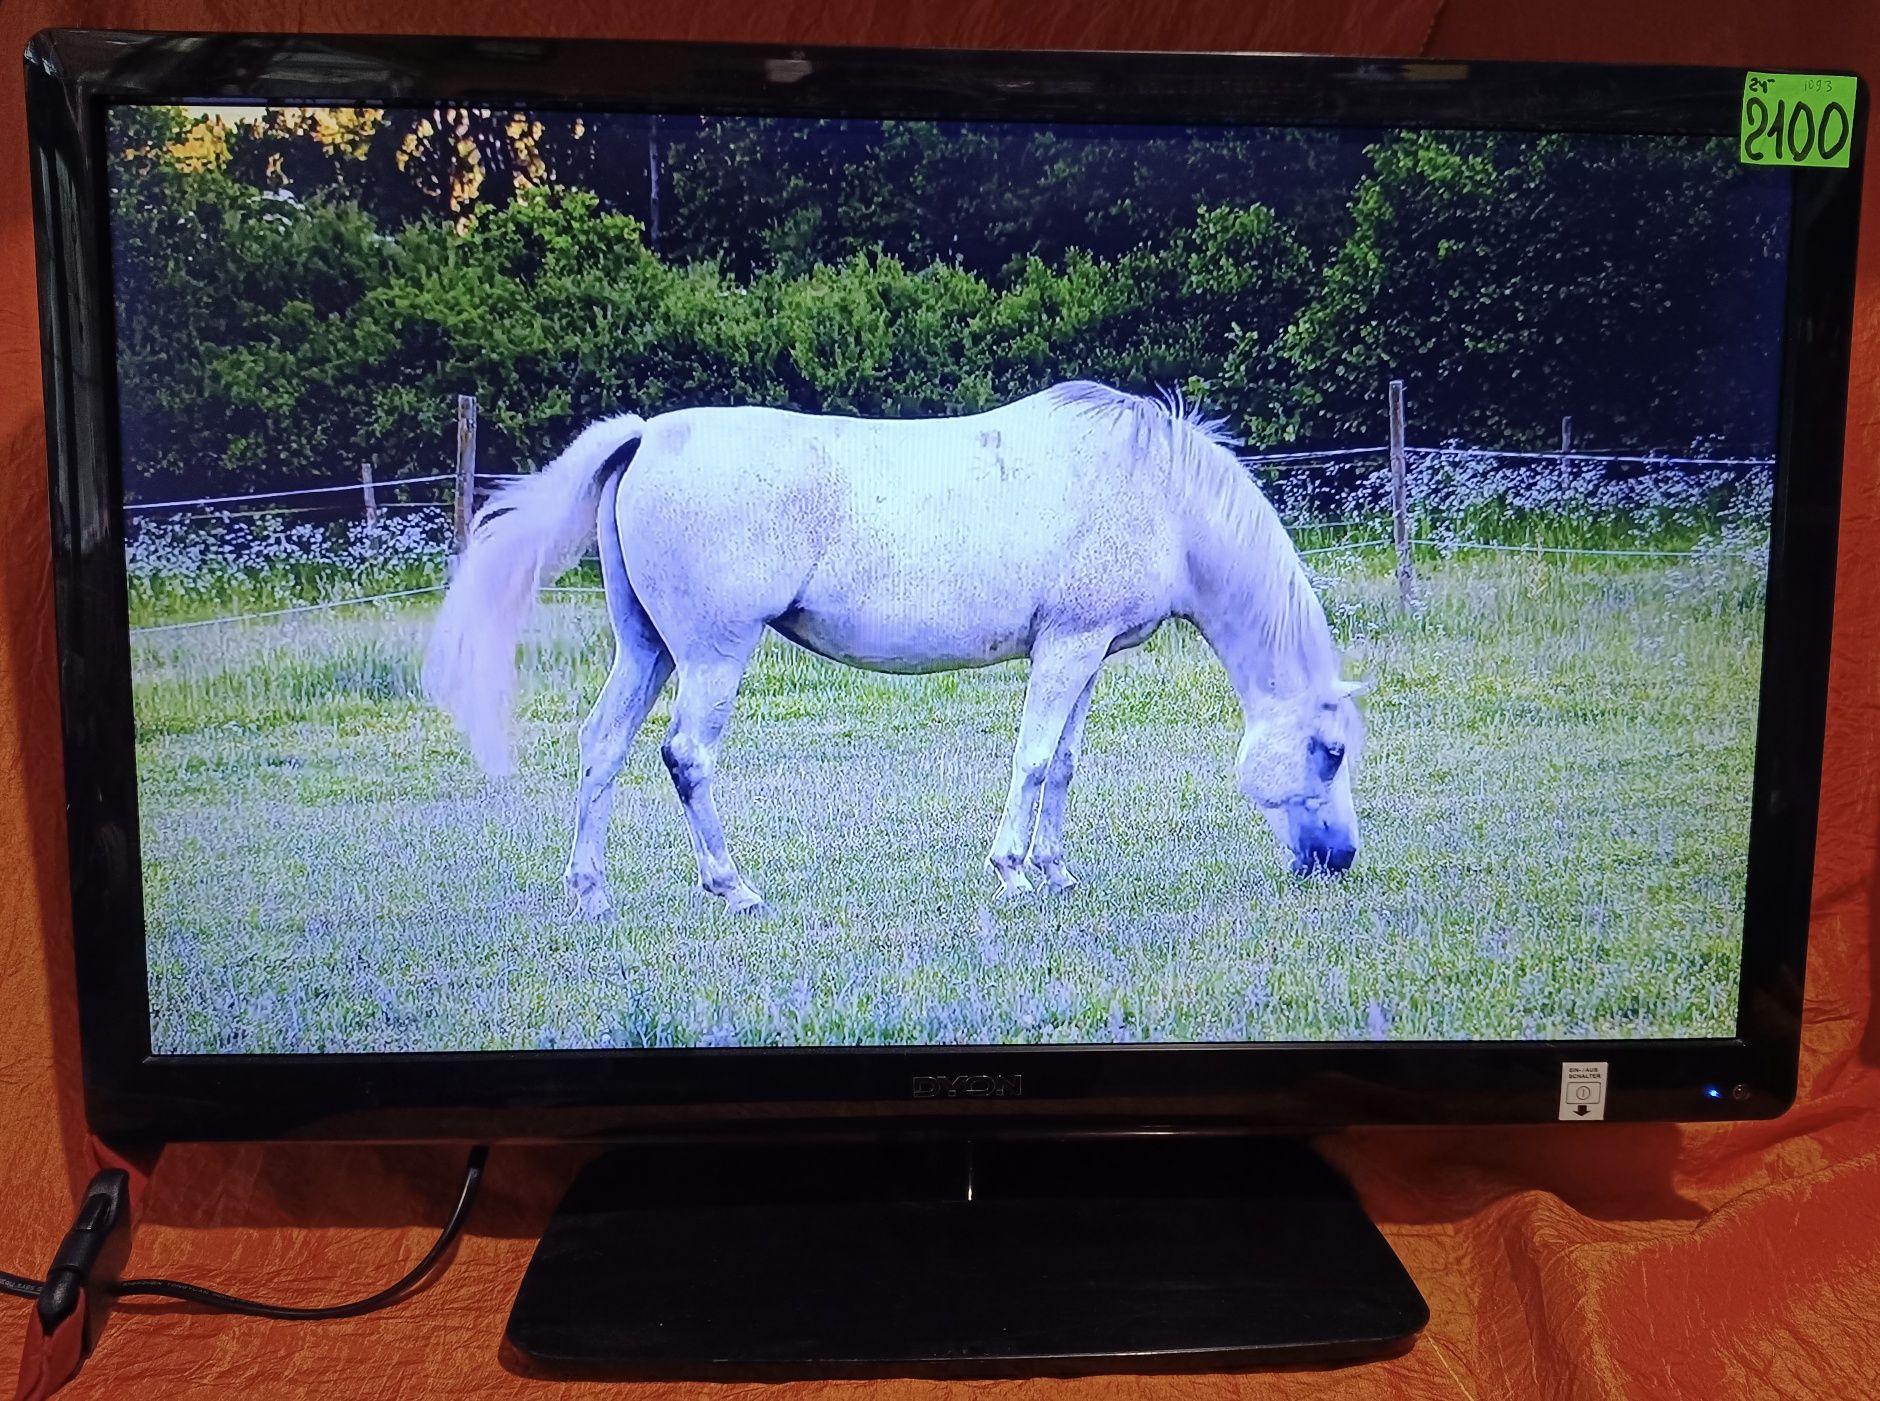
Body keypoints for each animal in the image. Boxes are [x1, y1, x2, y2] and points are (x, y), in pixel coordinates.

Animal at [423, 377, 1368, 913]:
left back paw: (590, 892)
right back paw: (733, 887)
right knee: (686, 757)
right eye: (1327, 751)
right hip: (710, 657)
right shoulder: (1066, 649)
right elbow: (1032, 759)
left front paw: (1057, 872)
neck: (1158, 490)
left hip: (646, 650)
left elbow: (1063, 763)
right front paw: (1013, 873)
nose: (1340, 859)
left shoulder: (1087, 653)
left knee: (602, 748)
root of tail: (647, 432)